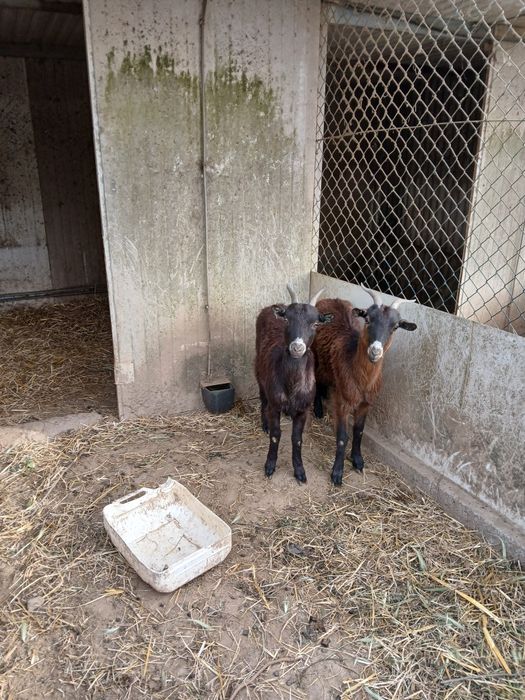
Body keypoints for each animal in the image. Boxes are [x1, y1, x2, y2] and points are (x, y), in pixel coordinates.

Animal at [255, 284, 333, 483]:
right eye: (287, 320)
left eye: (315, 324)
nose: (297, 347)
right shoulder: (275, 405)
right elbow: (275, 435)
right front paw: (270, 466)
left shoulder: (303, 409)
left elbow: (297, 439)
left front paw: (299, 471)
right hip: (259, 373)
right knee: (263, 400)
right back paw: (264, 424)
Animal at [312, 286, 417, 485]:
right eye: (367, 319)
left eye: (395, 327)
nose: (375, 351)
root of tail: (330, 299)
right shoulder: (343, 402)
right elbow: (342, 437)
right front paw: (337, 473)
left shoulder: (366, 404)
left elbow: (359, 431)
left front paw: (358, 461)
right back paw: (317, 409)